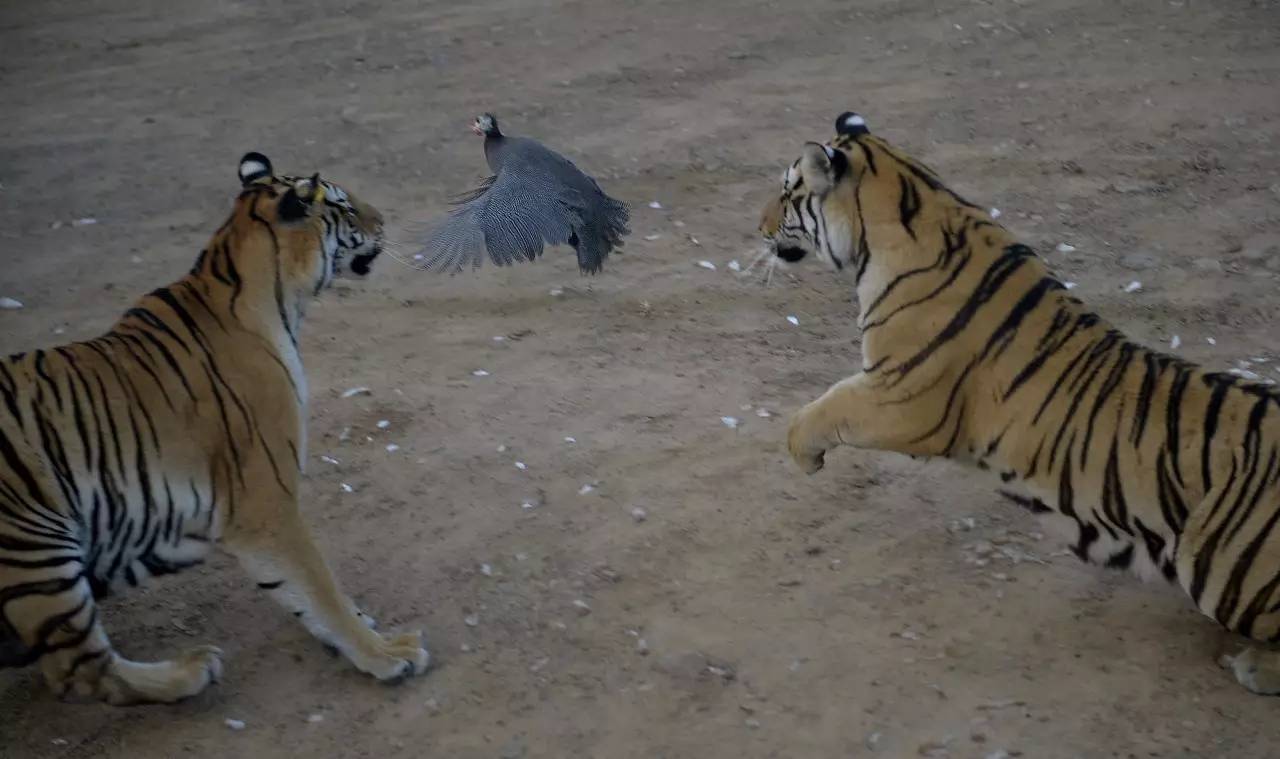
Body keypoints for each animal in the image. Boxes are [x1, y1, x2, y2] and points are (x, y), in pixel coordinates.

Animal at [0, 153, 430, 706]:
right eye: (346, 207)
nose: (384, 221)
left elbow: (307, 592)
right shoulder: (265, 502)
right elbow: (318, 585)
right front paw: (385, 654)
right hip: (38, 548)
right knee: (82, 671)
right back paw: (191, 672)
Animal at [752, 109, 1280, 696]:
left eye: (788, 192)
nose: (757, 226)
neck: (918, 199)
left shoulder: (904, 396)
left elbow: (826, 405)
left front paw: (804, 453)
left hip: (1212, 563)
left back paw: (1255, 668)